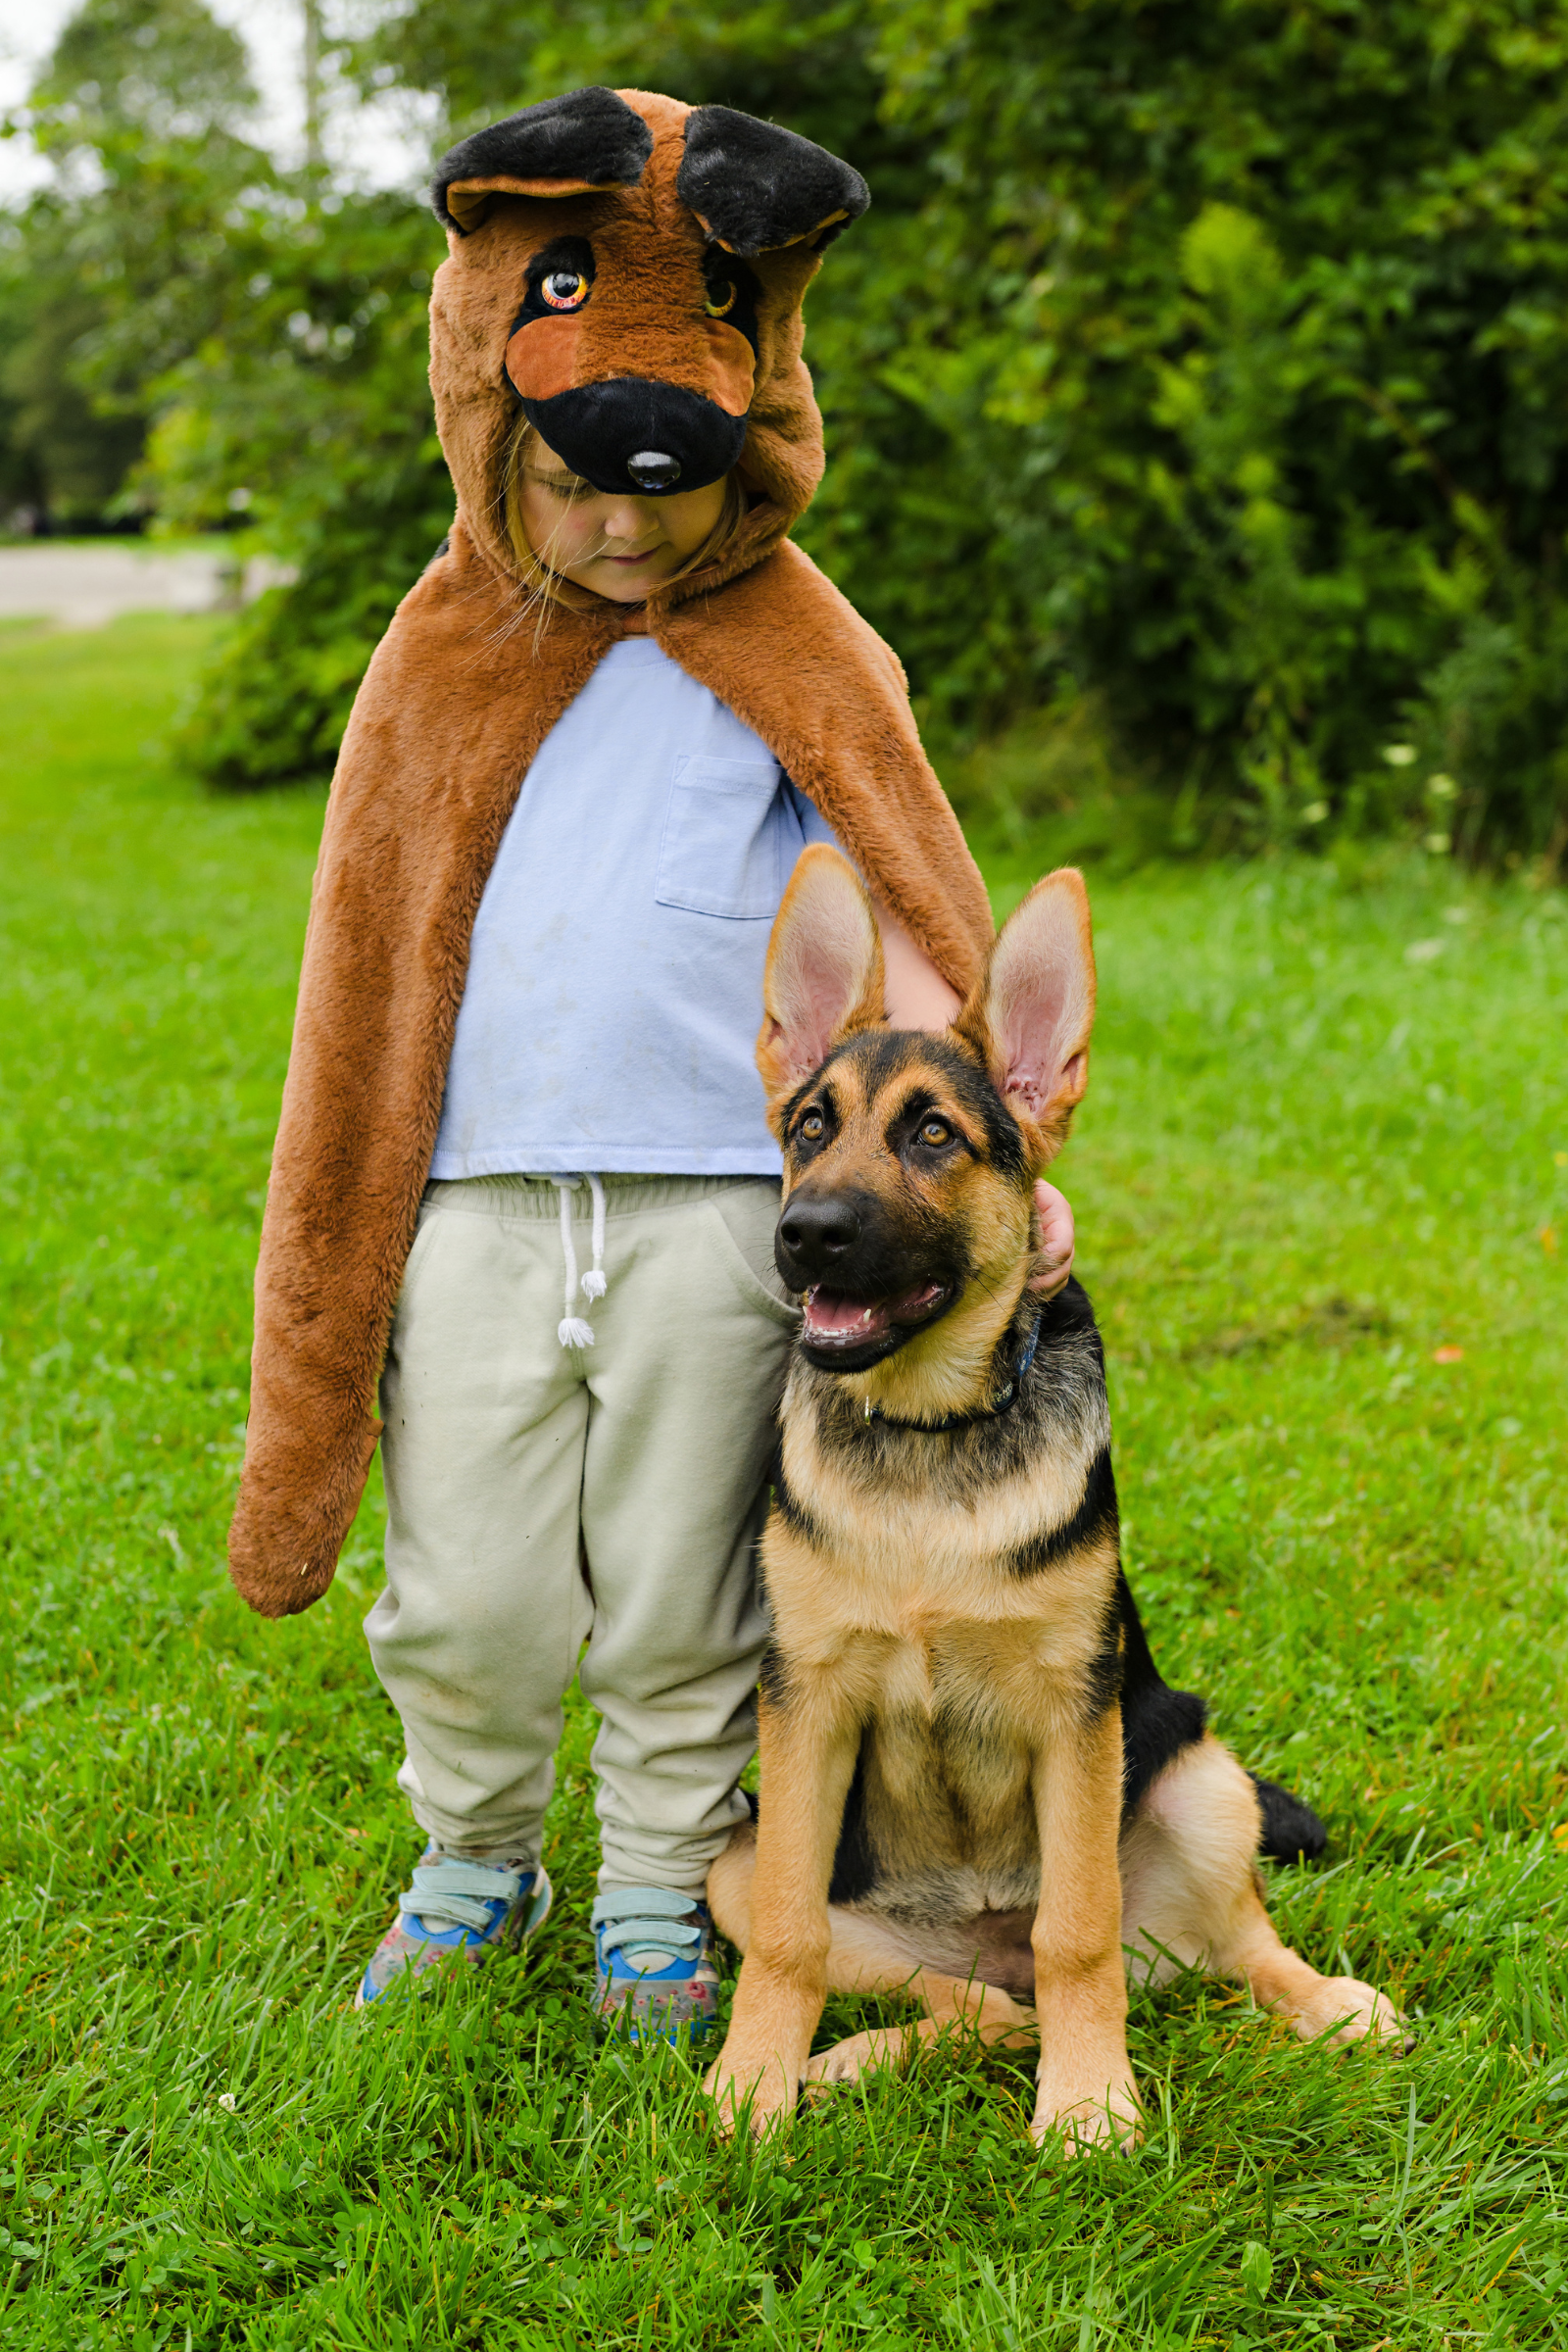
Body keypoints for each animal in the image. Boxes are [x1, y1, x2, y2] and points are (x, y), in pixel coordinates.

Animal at [700, 851, 1400, 2154]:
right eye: (811, 1127)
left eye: (933, 1133)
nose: (803, 1235)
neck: (931, 1436)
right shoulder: (804, 1704)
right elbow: (785, 1938)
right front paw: (752, 2084)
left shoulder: (1075, 1715)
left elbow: (1076, 1936)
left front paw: (1086, 2109)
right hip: (747, 1853)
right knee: (976, 2007)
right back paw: (848, 2064)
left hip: (1197, 1776)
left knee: (1220, 1943)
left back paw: (1328, 2003)